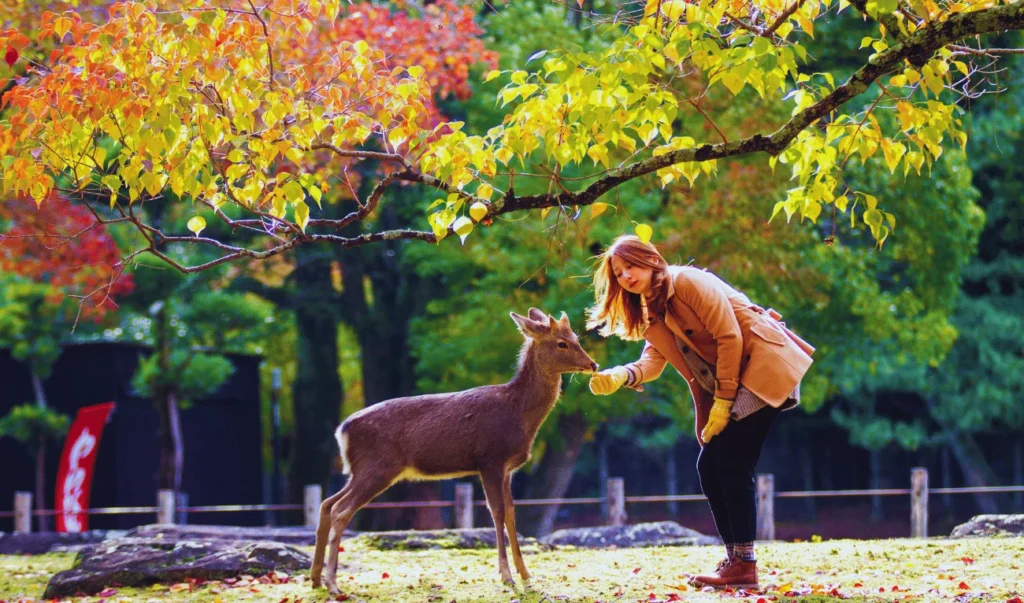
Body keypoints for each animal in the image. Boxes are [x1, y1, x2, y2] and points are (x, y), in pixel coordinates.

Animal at [311, 307, 598, 593]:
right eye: (561, 343)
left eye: (576, 338)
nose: (593, 364)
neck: (519, 413)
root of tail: (342, 430)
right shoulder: (490, 459)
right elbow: (497, 512)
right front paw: (506, 576)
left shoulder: (508, 468)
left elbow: (511, 513)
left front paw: (526, 576)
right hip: (378, 467)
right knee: (340, 510)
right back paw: (333, 583)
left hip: (360, 470)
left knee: (327, 504)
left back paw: (316, 579)